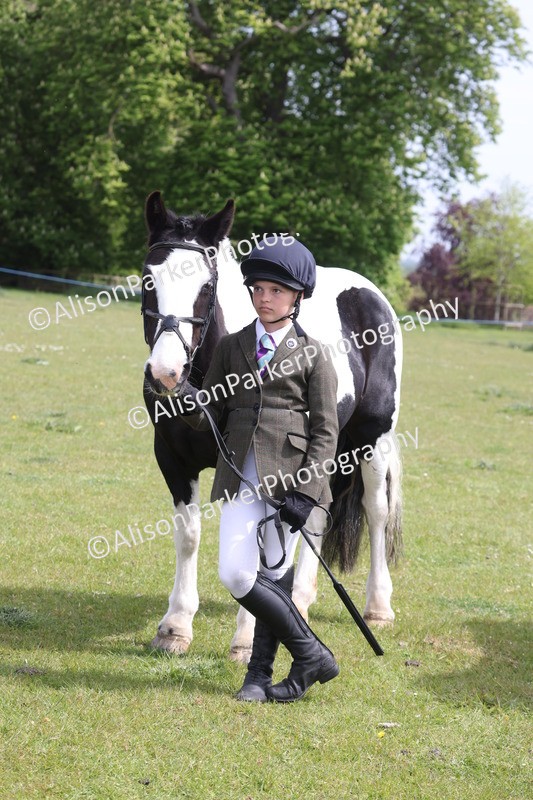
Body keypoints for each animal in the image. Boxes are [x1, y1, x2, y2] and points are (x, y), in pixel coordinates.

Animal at [141, 191, 403, 662]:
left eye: (207, 287)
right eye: (148, 280)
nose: (166, 374)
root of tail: (370, 294)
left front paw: (246, 638)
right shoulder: (173, 458)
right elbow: (189, 536)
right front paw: (175, 627)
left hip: (372, 439)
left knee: (375, 510)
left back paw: (377, 606)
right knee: (312, 515)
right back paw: (298, 599)